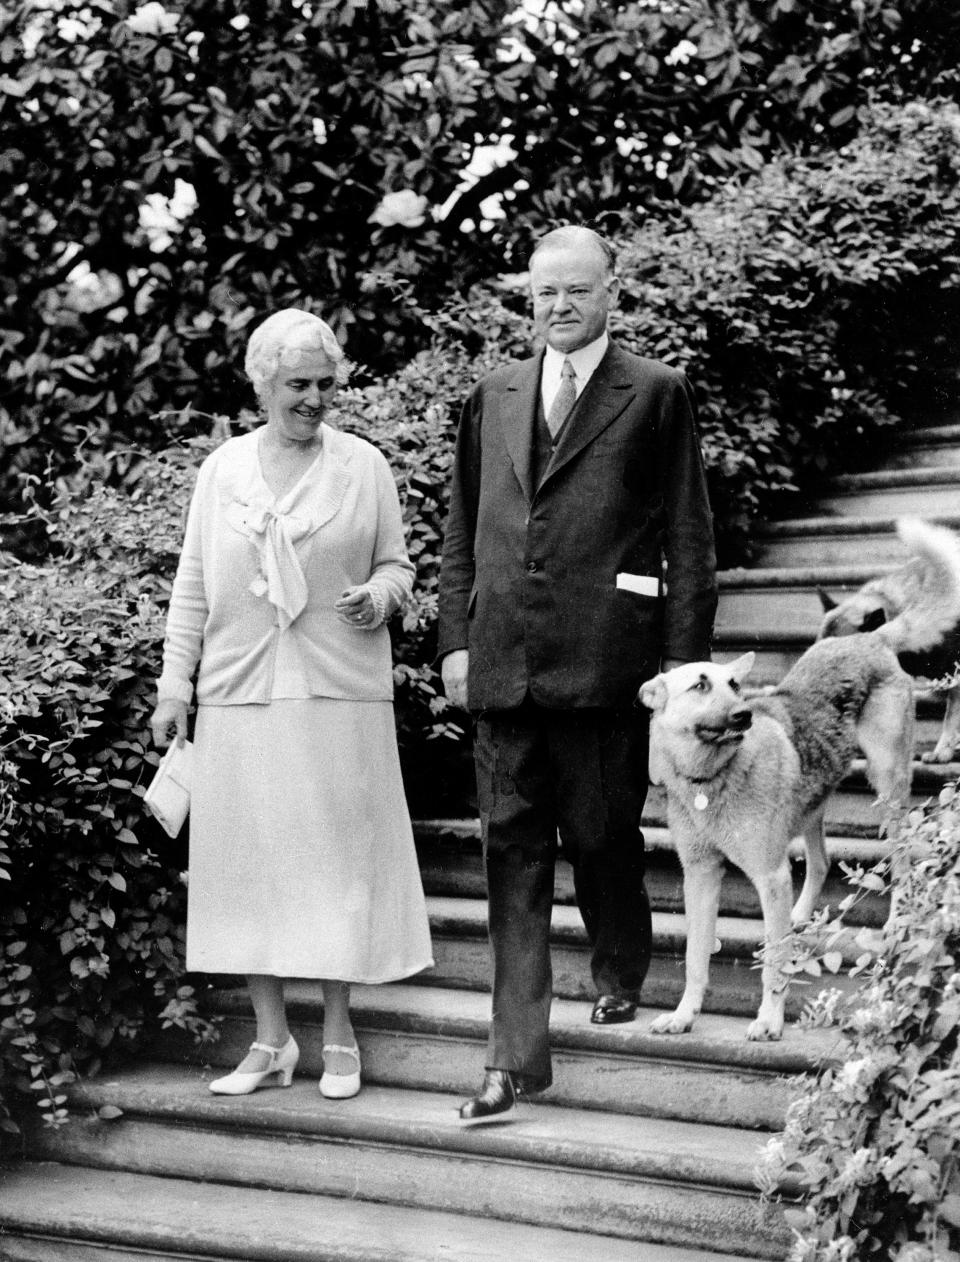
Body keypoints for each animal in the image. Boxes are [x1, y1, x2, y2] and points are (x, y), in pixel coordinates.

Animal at [635, 636, 913, 1039]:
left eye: (735, 685)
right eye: (700, 685)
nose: (743, 716)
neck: (713, 776)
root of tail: (869, 638)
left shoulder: (771, 876)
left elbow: (775, 960)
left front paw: (769, 1020)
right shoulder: (700, 876)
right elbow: (695, 956)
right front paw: (684, 1015)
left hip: (887, 786)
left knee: (904, 856)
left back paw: (898, 920)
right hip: (812, 802)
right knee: (822, 861)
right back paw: (800, 915)